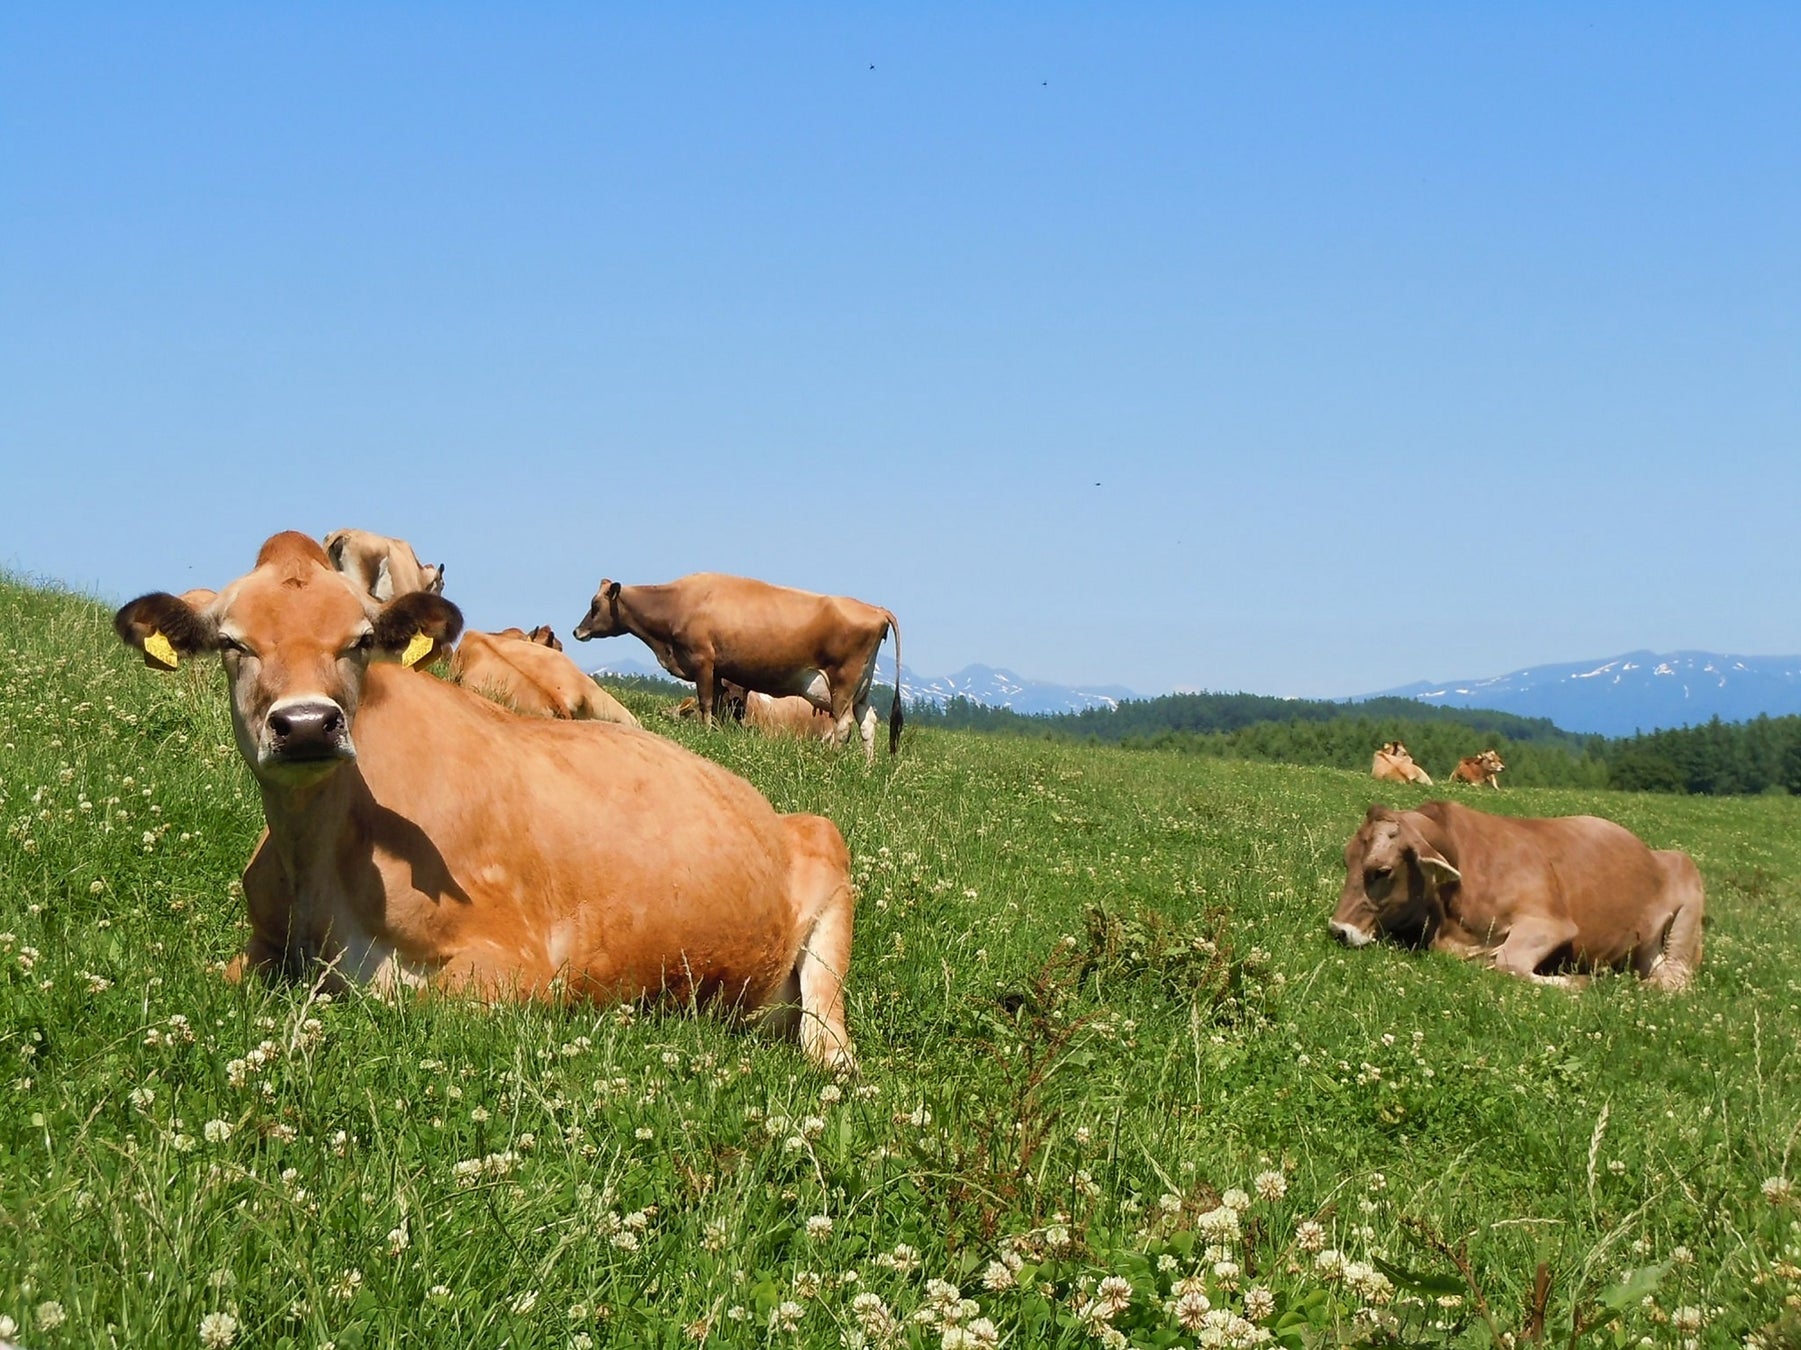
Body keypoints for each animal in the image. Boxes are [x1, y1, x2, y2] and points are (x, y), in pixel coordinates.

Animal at [572, 568, 900, 763]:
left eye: (595, 605)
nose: (577, 631)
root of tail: (877, 609)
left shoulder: (703, 660)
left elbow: (705, 702)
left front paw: (706, 733)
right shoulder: (720, 672)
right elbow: (717, 705)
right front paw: (716, 732)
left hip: (843, 680)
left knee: (843, 724)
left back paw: (830, 761)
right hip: (861, 686)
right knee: (868, 721)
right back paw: (868, 767)